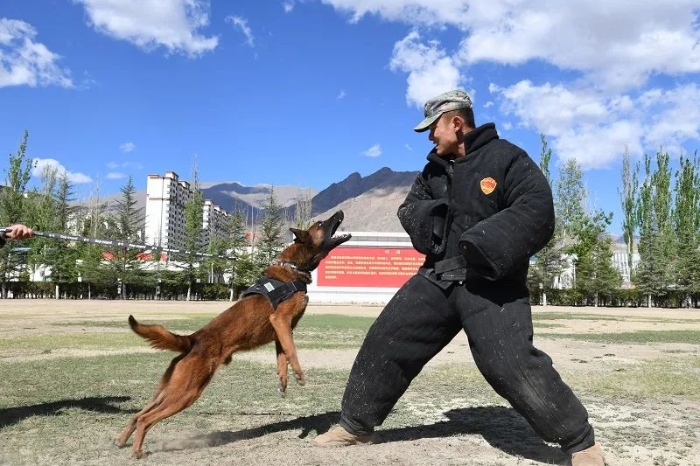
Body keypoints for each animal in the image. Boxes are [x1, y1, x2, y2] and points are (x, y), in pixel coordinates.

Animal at [117, 211, 352, 458]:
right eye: (321, 223)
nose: (340, 212)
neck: (293, 267)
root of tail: (192, 339)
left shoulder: (280, 330)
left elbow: (282, 358)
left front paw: (283, 382)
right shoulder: (280, 321)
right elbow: (292, 352)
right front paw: (299, 374)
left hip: (168, 390)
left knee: (138, 413)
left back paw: (121, 440)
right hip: (186, 393)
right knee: (145, 418)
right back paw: (137, 451)